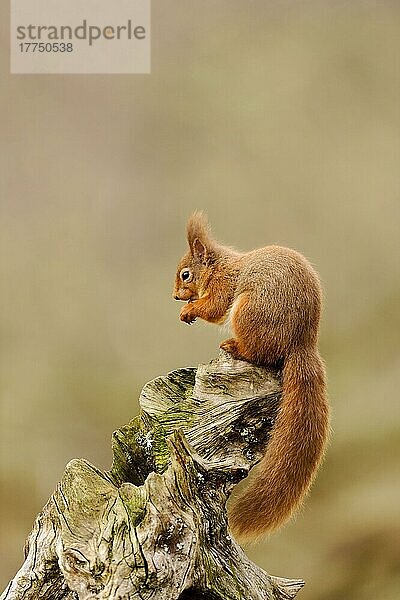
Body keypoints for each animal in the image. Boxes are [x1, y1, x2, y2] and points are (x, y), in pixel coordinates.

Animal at [173, 213, 330, 540]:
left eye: (185, 275)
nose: (174, 296)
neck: (219, 266)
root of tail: (301, 343)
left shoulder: (224, 287)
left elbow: (214, 307)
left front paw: (189, 310)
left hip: (248, 312)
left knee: (258, 353)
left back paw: (234, 346)